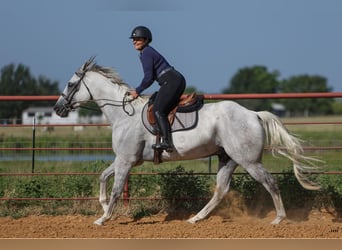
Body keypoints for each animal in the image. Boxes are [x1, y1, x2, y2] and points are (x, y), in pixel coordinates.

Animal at [53, 57, 320, 226]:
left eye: (70, 84)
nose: (57, 108)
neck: (123, 114)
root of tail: (254, 114)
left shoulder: (126, 161)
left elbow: (117, 189)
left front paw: (103, 218)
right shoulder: (125, 160)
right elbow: (102, 177)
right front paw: (102, 206)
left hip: (249, 161)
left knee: (270, 182)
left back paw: (279, 218)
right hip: (228, 159)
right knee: (221, 190)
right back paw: (195, 218)